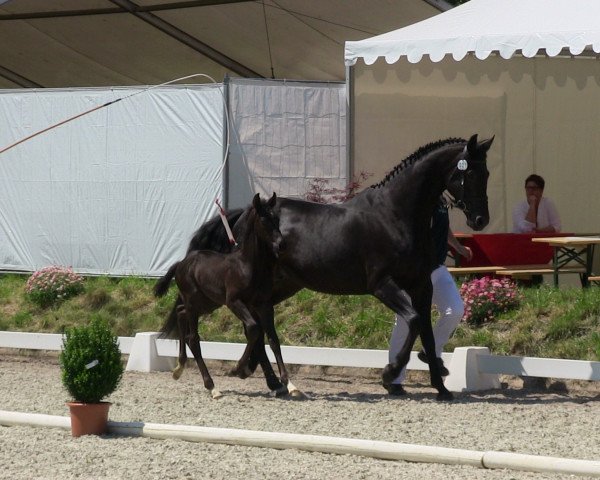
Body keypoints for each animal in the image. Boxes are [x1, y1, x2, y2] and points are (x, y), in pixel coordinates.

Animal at [159, 135, 492, 402]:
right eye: (468, 172)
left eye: (486, 172)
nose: (480, 220)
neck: (396, 214)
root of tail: (245, 212)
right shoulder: (383, 285)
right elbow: (412, 322)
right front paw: (389, 373)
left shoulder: (421, 284)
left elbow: (426, 332)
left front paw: (441, 387)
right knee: (246, 325)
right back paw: (259, 377)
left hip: (276, 288)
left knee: (257, 326)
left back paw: (271, 381)